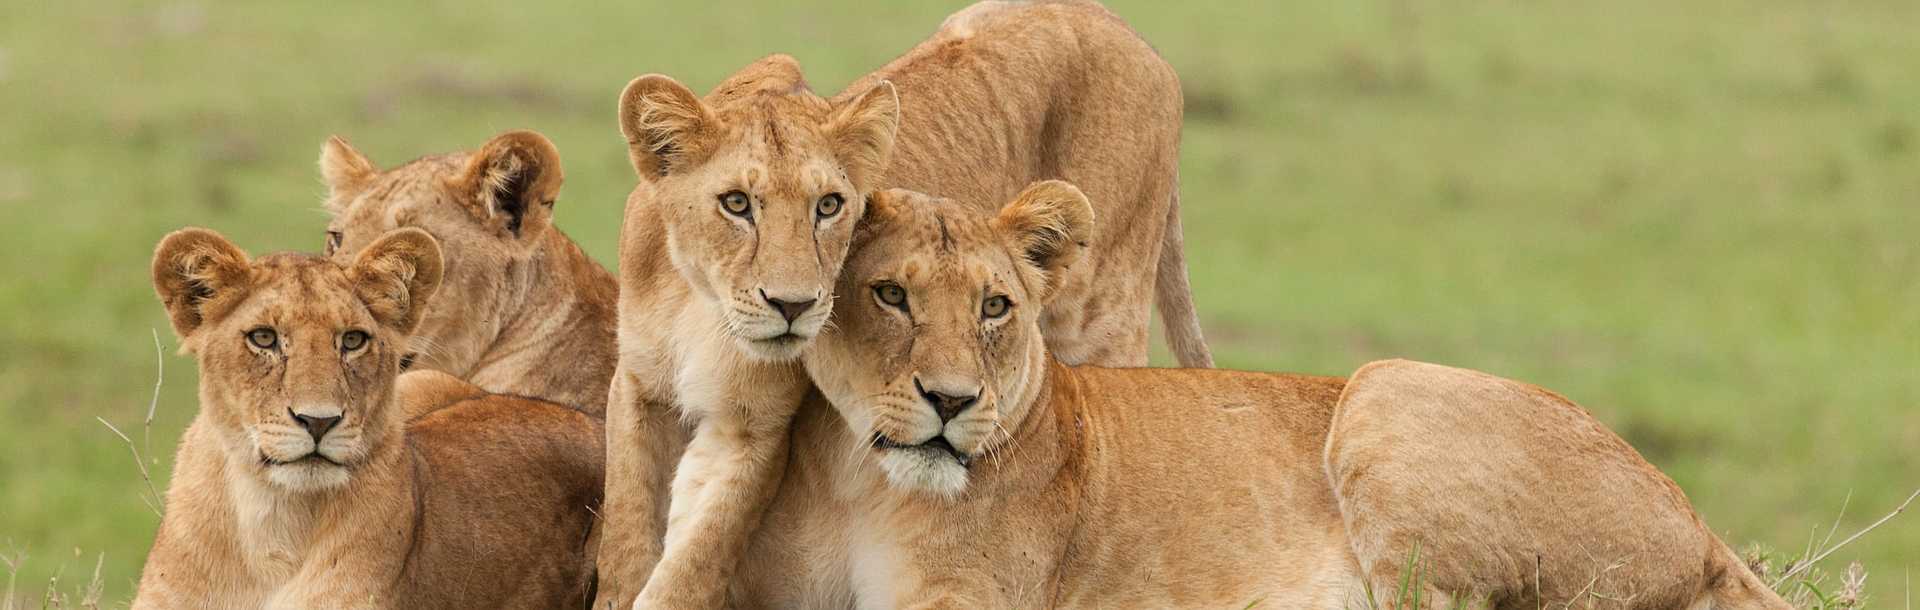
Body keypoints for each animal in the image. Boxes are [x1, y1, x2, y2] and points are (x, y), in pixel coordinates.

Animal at [729, 187, 1781, 610]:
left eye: (996, 307)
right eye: (891, 295)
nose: (951, 402)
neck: (862, 479)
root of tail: (1700, 525)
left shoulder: (970, 602)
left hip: (1387, 392)